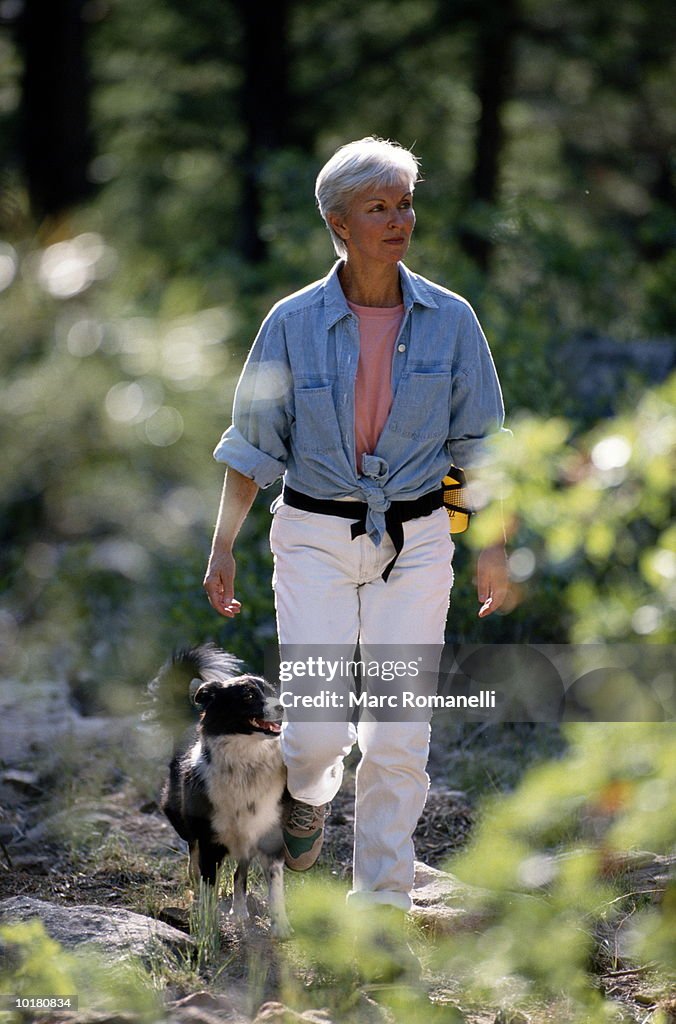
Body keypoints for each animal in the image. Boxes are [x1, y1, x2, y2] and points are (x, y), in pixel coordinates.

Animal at [149, 643, 290, 937]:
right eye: (248, 695)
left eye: (271, 691)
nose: (283, 706)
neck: (246, 764)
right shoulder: (210, 841)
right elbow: (208, 886)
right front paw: (207, 928)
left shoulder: (270, 833)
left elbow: (274, 886)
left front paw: (280, 926)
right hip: (181, 817)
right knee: (193, 856)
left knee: (240, 871)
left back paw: (240, 910)